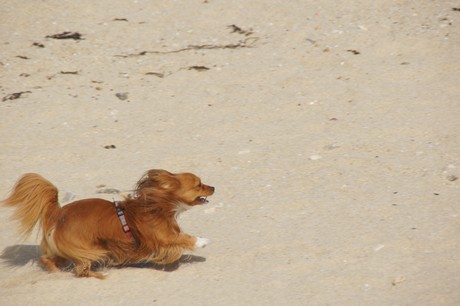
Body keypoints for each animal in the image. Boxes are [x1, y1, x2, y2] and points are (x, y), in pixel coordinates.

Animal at [1, 170, 215, 280]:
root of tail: (58, 214)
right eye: (199, 185)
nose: (213, 187)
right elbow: (184, 238)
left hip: (64, 250)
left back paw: (55, 273)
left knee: (47, 259)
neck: (158, 204)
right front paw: (203, 241)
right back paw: (100, 274)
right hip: (90, 249)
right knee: (81, 270)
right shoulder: (163, 236)